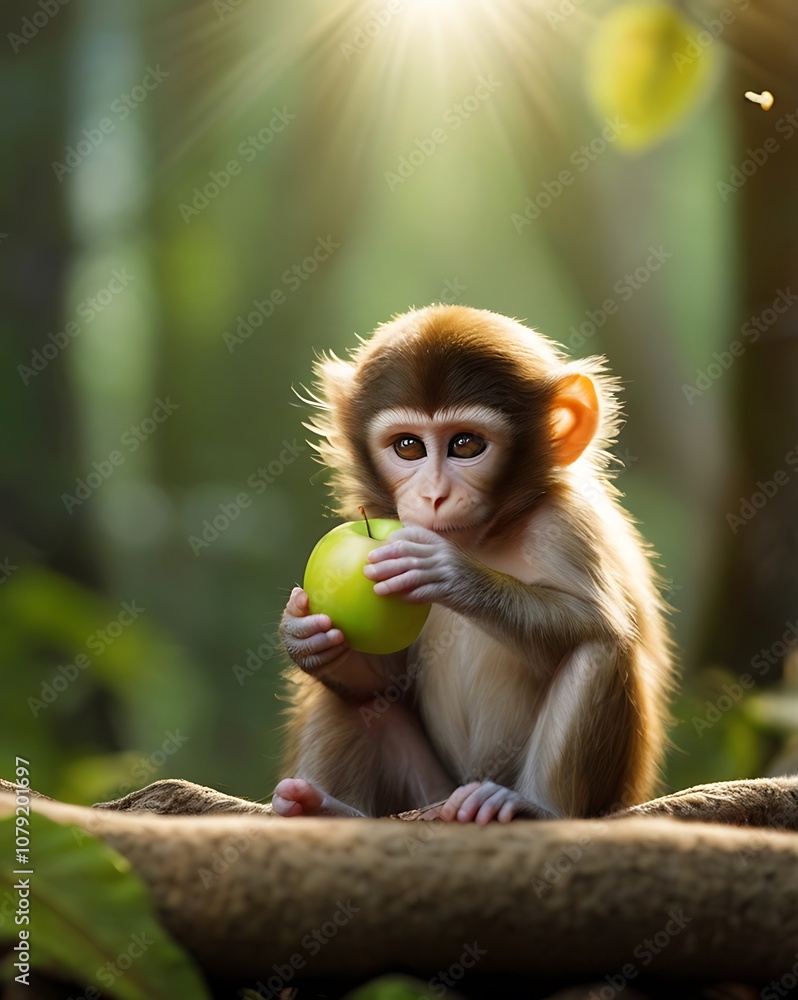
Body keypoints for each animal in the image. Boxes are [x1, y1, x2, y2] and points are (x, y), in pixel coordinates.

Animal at [273, 305, 674, 823]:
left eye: (465, 445)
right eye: (408, 446)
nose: (434, 495)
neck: (483, 539)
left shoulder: (565, 526)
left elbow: (593, 621)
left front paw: (452, 574)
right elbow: (379, 683)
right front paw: (302, 634)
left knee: (600, 647)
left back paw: (533, 807)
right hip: (429, 792)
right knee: (353, 700)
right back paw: (323, 809)